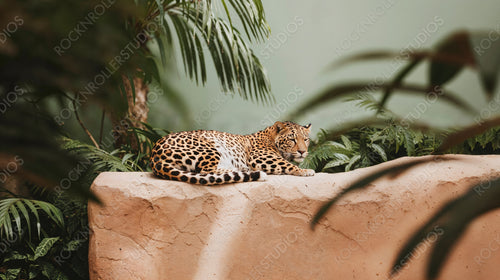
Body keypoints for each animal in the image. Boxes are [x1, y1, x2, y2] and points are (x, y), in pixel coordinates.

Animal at [148, 120, 314, 184]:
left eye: (306, 139)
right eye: (292, 139)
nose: (302, 152)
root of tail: (154, 155)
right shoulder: (260, 158)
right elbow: (287, 164)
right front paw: (305, 171)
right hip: (209, 147)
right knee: (206, 171)